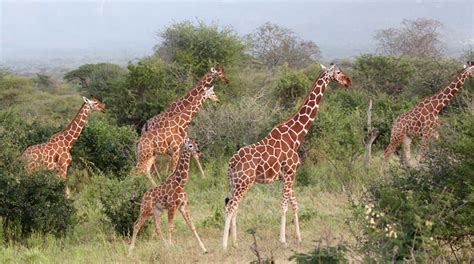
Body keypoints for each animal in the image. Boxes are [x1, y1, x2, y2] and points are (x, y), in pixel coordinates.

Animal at [222, 63, 352, 249]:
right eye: (339, 72)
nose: (349, 81)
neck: (296, 136)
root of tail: (230, 163)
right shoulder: (290, 173)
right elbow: (284, 206)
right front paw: (283, 240)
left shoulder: (288, 176)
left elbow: (295, 204)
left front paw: (299, 238)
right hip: (244, 182)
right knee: (230, 207)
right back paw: (224, 245)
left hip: (234, 182)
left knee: (233, 206)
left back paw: (235, 243)